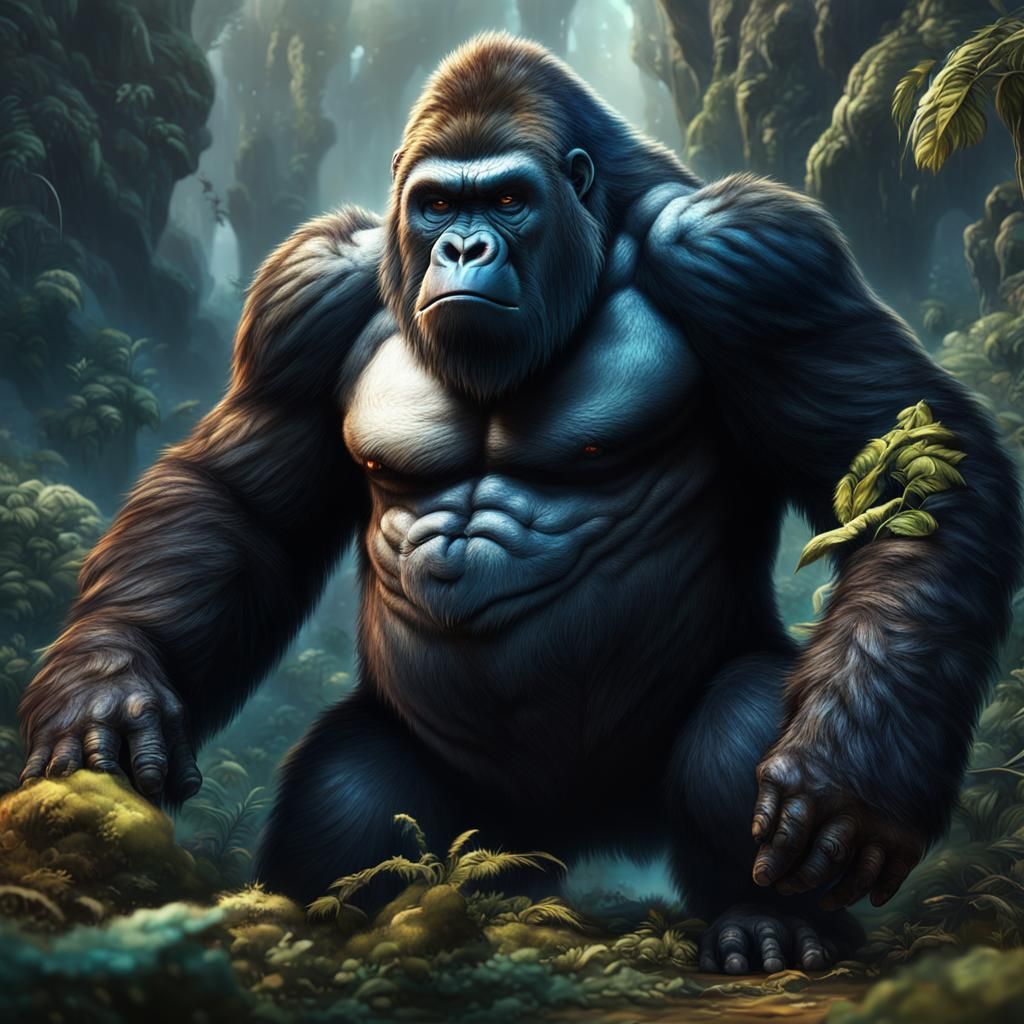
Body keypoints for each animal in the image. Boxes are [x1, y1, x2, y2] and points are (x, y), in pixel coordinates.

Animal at [19, 34, 1023, 973]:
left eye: (507, 201)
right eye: (437, 204)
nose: (463, 248)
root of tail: (577, 838)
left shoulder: (757, 258)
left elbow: (916, 474)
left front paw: (855, 776)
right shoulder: (303, 292)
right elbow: (240, 507)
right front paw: (107, 680)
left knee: (742, 709)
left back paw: (771, 919)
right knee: (351, 784)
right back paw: (336, 922)